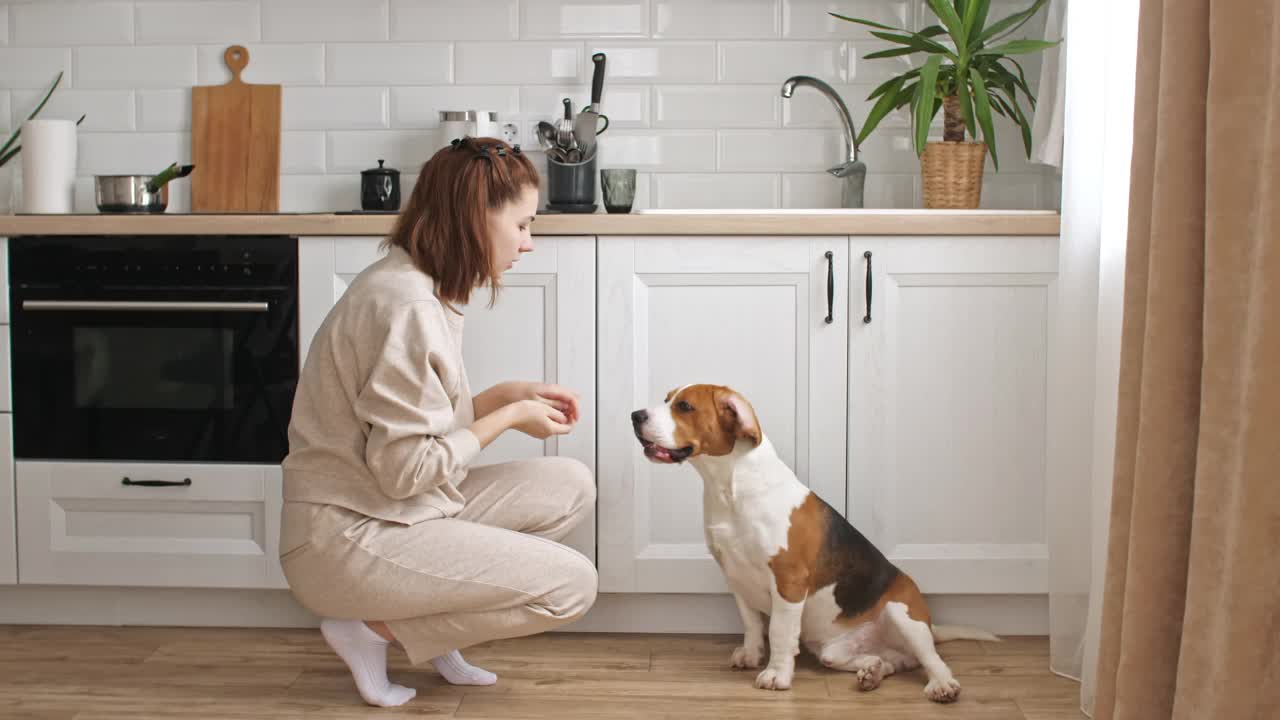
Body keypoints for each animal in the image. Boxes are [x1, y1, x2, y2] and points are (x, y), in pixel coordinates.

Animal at [629, 384, 998, 696]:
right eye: (666, 399)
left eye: (684, 406)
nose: (635, 415)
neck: (730, 487)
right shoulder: (734, 577)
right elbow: (751, 624)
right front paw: (750, 655)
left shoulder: (789, 582)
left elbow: (779, 632)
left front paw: (776, 674)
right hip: (834, 652)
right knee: (890, 662)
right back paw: (872, 672)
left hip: (903, 614)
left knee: (933, 660)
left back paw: (942, 685)